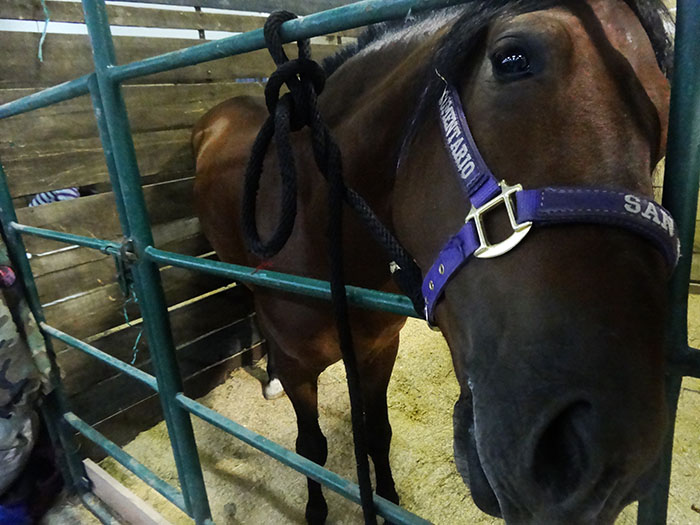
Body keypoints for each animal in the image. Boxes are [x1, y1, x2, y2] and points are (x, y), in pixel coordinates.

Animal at [194, 2, 676, 520]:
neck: (317, 231)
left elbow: (376, 433)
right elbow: (311, 449)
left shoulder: (377, 352)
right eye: (512, 59)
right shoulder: (301, 370)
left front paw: (386, 498)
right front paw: (317, 511)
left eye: (667, 115)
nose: (607, 461)